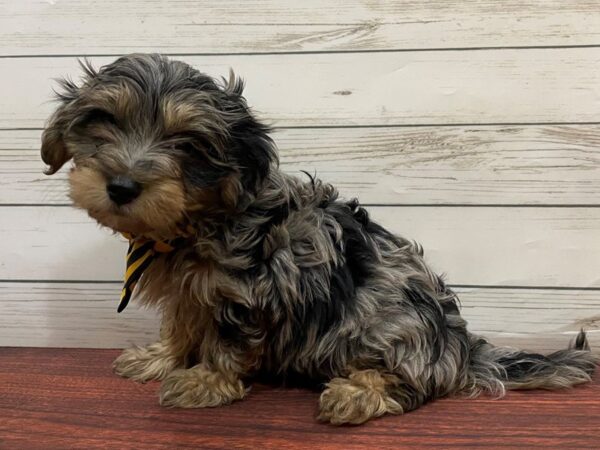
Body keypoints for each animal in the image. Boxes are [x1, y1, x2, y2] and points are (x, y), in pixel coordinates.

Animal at [41, 54, 596, 424]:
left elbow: (224, 340)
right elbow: (181, 325)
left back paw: (357, 393)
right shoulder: (191, 293)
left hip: (392, 327)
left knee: (416, 385)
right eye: (104, 121)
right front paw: (160, 358)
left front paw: (205, 380)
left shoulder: (247, 291)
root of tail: (460, 346)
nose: (122, 187)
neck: (199, 220)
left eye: (188, 144)